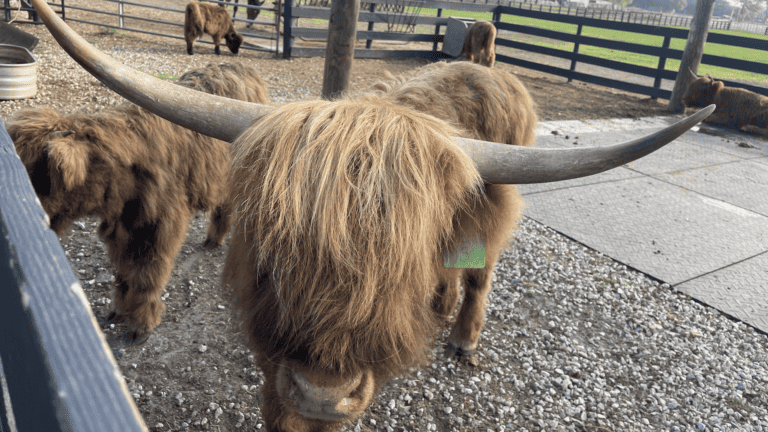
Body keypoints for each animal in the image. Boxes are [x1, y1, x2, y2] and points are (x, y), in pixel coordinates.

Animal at [6, 61, 269, 345]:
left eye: (40, 176)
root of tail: (239, 66)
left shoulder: (163, 224)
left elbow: (148, 275)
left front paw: (141, 325)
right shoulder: (121, 226)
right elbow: (123, 271)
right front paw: (118, 310)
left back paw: (215, 239)